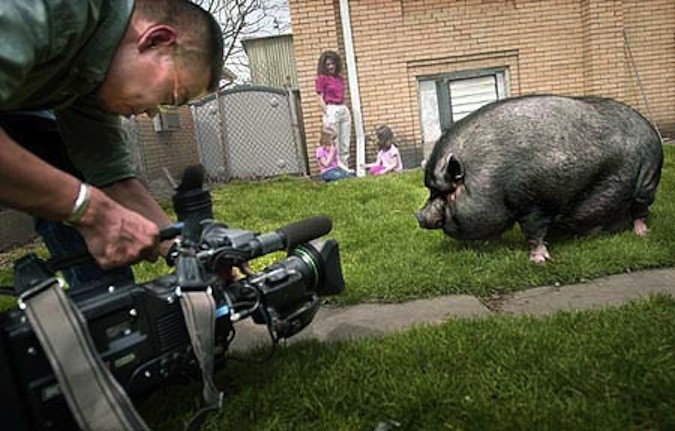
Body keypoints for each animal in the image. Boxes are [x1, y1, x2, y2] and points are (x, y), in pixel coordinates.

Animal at [418, 95, 664, 264]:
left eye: (449, 191)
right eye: (431, 190)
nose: (419, 215)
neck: (490, 178)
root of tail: (650, 128)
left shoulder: (536, 205)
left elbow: (533, 232)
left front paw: (539, 261)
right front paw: (491, 243)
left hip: (648, 180)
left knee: (641, 210)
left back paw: (642, 234)